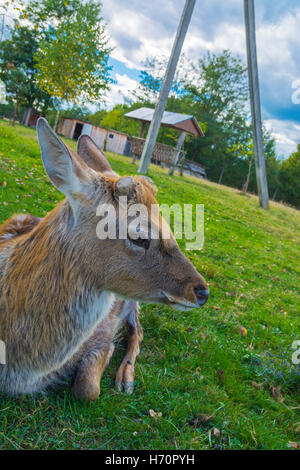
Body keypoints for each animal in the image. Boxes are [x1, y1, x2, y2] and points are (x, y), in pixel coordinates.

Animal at [0, 117, 209, 400]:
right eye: (139, 237)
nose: (202, 292)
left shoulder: (104, 331)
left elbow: (88, 389)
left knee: (138, 331)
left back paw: (126, 378)